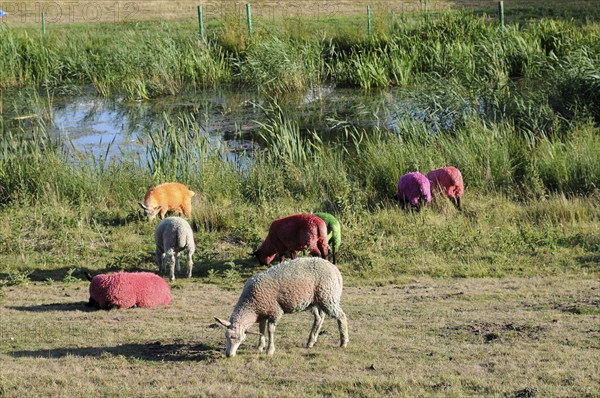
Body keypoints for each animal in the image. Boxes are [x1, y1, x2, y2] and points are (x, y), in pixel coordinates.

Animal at [214, 258, 346, 358]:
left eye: (241, 340)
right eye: (226, 336)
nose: (228, 355)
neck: (251, 304)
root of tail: (334, 268)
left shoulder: (275, 312)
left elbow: (270, 330)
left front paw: (269, 350)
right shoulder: (262, 312)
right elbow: (261, 329)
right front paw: (260, 346)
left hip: (328, 296)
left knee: (341, 316)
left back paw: (343, 342)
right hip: (315, 301)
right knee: (319, 318)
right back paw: (310, 342)